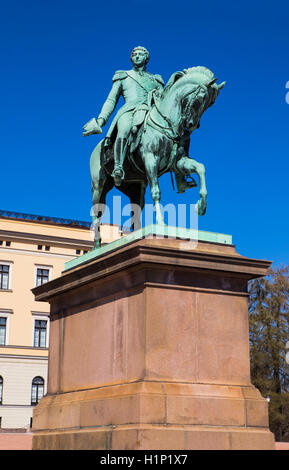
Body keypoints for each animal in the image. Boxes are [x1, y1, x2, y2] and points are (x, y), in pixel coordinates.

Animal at [89, 67, 224, 248]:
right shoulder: (150, 160)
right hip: (100, 185)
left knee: (136, 209)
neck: (168, 123)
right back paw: (97, 244)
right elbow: (156, 192)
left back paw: (137, 233)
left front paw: (201, 206)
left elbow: (201, 168)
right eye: (202, 97)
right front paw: (160, 223)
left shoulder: (179, 162)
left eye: (211, 103)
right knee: (96, 213)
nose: (191, 126)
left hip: (134, 187)